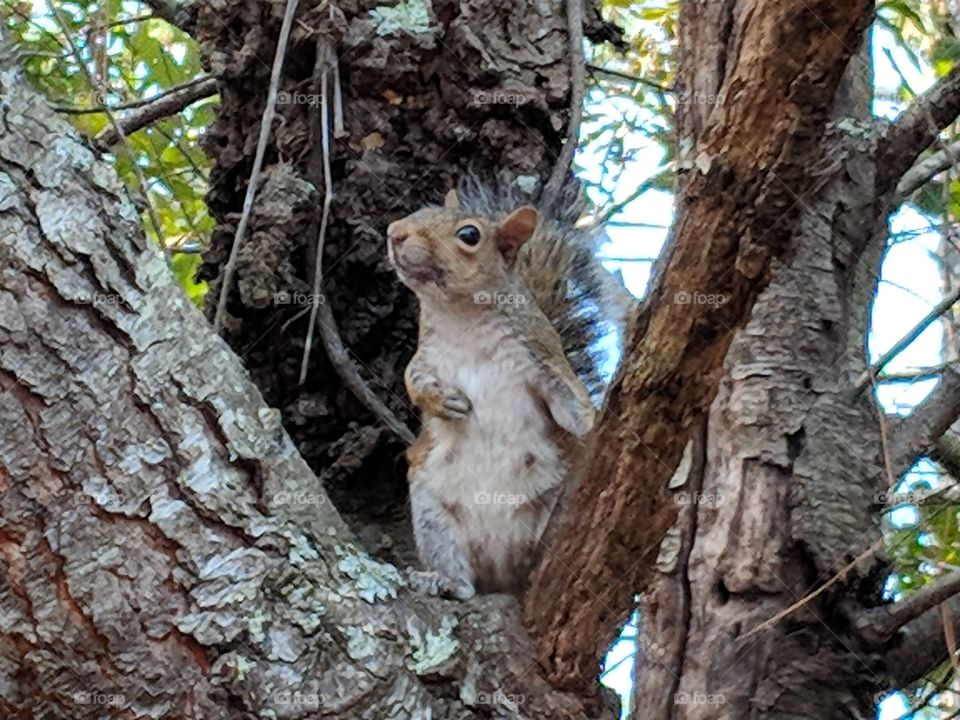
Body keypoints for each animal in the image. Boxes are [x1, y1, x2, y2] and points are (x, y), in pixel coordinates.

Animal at [387, 178, 632, 599]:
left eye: (469, 235)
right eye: (421, 211)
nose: (395, 232)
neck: (460, 317)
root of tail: (498, 571)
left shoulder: (541, 359)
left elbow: (571, 403)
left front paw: (591, 421)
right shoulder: (425, 361)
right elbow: (411, 381)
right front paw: (441, 401)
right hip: (432, 513)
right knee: (461, 579)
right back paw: (443, 580)